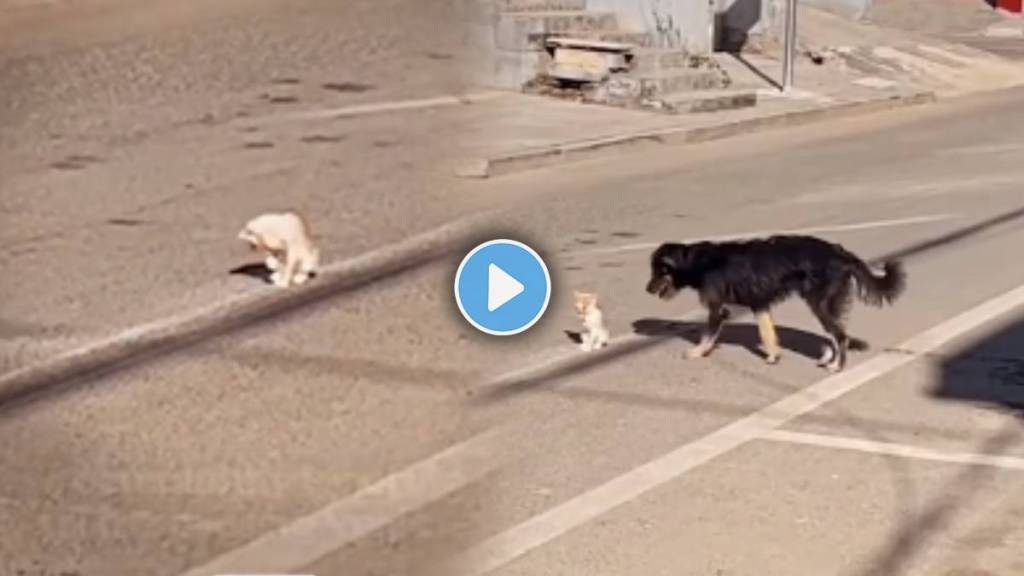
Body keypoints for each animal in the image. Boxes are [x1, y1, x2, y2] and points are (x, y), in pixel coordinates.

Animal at [647, 234, 905, 373]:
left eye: (659, 271)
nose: (647, 289)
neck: (698, 262)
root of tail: (841, 253)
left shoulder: (718, 308)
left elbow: (707, 335)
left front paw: (698, 351)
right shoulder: (759, 304)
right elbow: (767, 333)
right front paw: (773, 356)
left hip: (820, 303)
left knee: (840, 336)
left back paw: (837, 366)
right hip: (822, 304)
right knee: (834, 334)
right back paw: (829, 359)